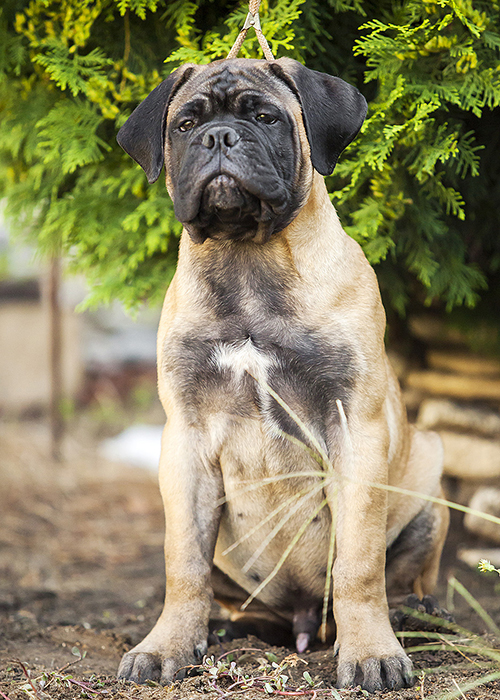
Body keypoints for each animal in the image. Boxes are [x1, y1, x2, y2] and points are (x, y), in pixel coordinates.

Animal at [117, 57, 450, 692]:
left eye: (266, 117)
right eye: (186, 124)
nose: (220, 137)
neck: (247, 257)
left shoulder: (355, 430)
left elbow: (360, 563)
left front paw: (371, 653)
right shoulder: (186, 441)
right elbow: (183, 561)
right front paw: (167, 644)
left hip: (427, 477)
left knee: (406, 578)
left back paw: (416, 618)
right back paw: (226, 627)